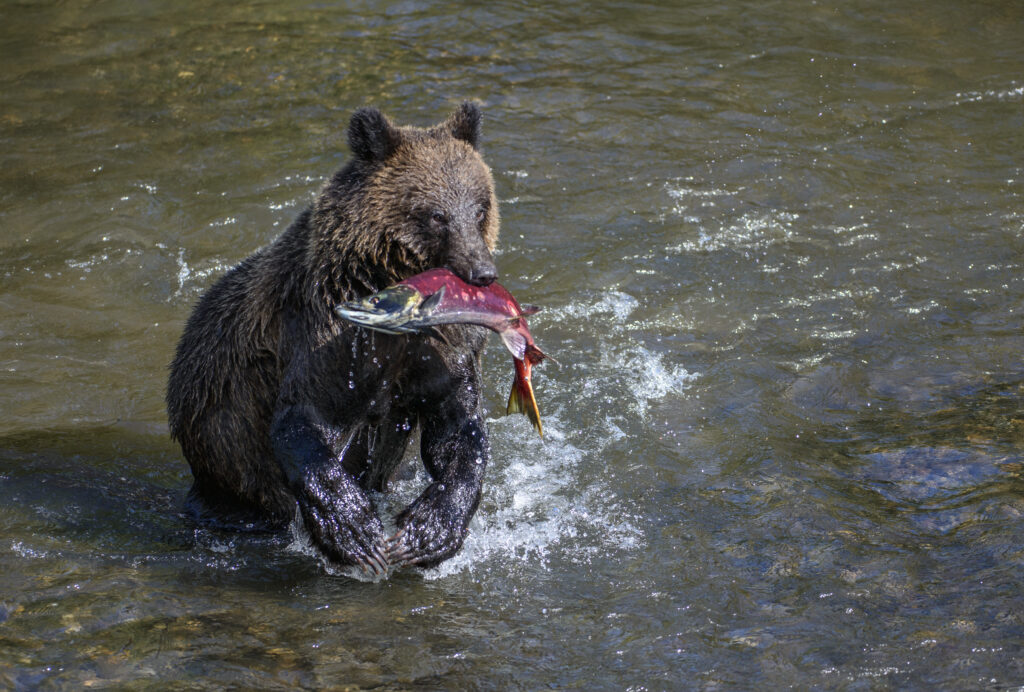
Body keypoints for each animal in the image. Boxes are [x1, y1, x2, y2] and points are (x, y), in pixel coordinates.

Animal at [165, 98, 501, 573]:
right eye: (436, 215)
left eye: (479, 207)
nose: (481, 271)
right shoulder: (331, 338)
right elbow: (306, 418)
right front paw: (357, 532)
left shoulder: (442, 347)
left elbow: (457, 428)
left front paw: (427, 531)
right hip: (223, 446)